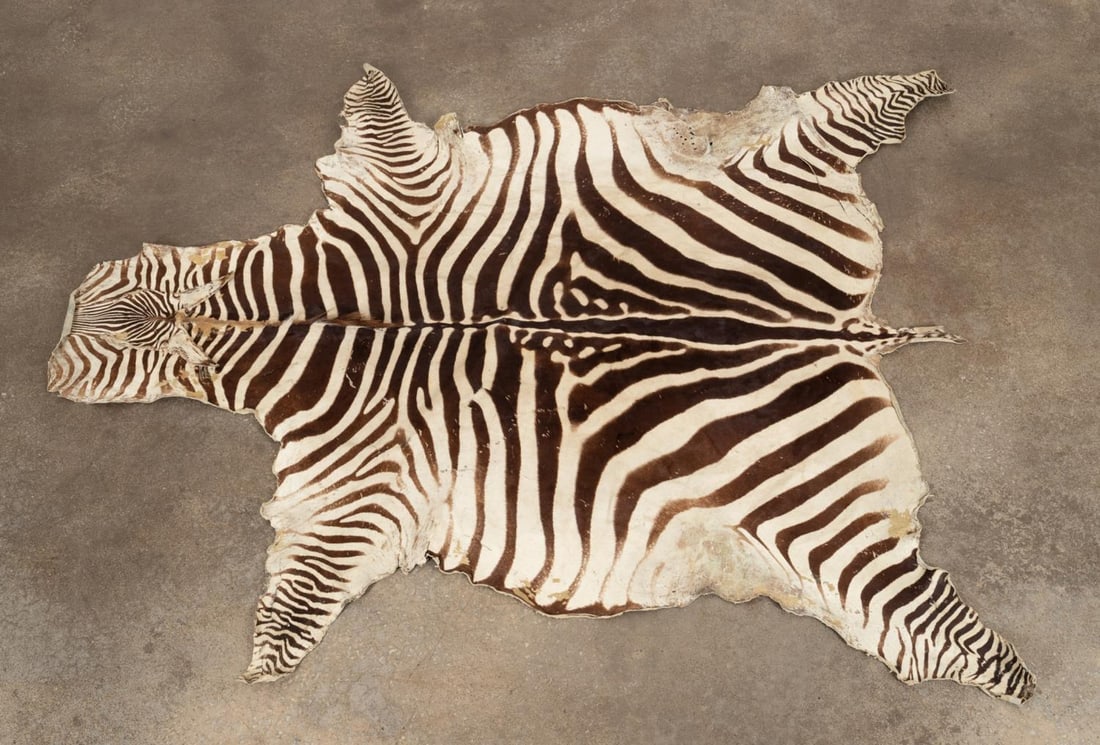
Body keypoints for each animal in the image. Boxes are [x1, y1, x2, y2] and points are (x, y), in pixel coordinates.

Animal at [47, 64, 1035, 703]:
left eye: (120, 332)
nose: (60, 338)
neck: (275, 320)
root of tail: (844, 327)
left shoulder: (350, 477)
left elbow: (300, 589)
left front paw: (266, 664)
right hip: (808, 498)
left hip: (810, 501)